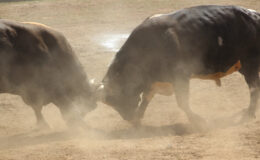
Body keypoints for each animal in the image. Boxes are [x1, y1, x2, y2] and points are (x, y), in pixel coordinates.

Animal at [98, 5, 260, 127]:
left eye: (119, 97)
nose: (128, 117)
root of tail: (255, 16)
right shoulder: (155, 81)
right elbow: (146, 98)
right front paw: (138, 118)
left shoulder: (180, 76)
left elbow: (182, 102)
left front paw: (199, 121)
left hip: (249, 64)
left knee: (254, 88)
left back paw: (249, 114)